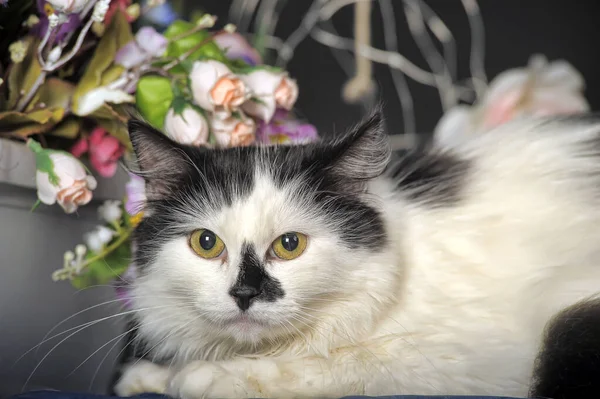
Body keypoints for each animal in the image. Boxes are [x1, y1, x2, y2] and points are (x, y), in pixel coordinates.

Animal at [113, 109, 600, 399]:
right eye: (206, 243)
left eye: (289, 245)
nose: (245, 294)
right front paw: (149, 377)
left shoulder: (472, 360)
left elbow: (338, 363)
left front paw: (204, 378)